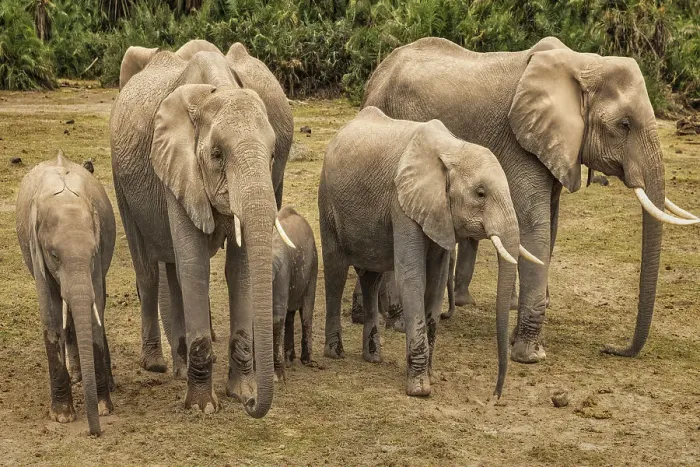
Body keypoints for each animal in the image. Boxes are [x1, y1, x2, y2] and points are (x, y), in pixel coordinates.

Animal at [16, 151, 116, 436]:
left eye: (92, 254)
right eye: (54, 255)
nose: (95, 432)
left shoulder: (99, 251)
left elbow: (95, 308)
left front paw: (104, 408)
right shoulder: (35, 248)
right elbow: (51, 312)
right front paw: (62, 416)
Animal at [111, 41, 295, 417]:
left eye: (273, 156)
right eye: (217, 154)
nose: (253, 405)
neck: (217, 89)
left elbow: (239, 269)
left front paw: (240, 392)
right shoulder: (176, 164)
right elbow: (194, 264)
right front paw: (202, 407)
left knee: (173, 270)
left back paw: (181, 368)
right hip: (120, 180)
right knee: (149, 270)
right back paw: (155, 364)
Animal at [271, 206, 318, 381]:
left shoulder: (282, 272)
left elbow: (277, 318)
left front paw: (276, 377)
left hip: (313, 264)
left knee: (306, 311)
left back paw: (306, 361)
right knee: (290, 314)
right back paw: (289, 360)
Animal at [318, 106, 543, 397]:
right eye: (480, 193)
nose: (496, 394)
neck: (452, 149)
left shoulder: (439, 213)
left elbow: (435, 283)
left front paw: (431, 377)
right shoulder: (402, 203)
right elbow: (413, 278)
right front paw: (419, 389)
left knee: (371, 277)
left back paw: (373, 357)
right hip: (327, 201)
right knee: (335, 271)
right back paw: (335, 353)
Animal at [362, 36, 699, 364]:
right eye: (624, 125)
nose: (611, 349)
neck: (583, 64)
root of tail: (378, 72)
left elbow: (551, 224)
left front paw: (520, 343)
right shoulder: (520, 142)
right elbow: (534, 227)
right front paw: (530, 355)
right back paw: (396, 322)